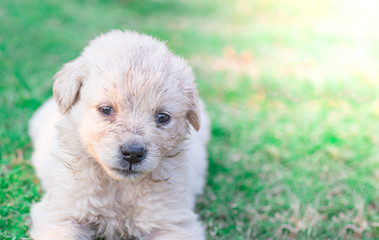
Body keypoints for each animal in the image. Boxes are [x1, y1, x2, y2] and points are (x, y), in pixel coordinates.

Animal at [29, 30, 211, 240]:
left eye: (163, 117)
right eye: (106, 109)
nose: (132, 153)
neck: (119, 187)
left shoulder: (174, 223)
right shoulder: (61, 214)